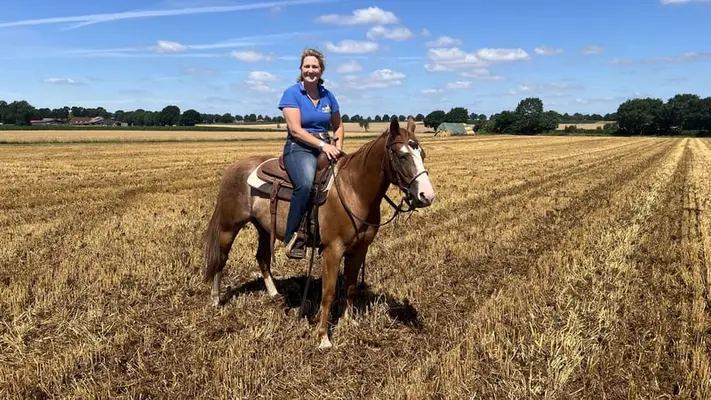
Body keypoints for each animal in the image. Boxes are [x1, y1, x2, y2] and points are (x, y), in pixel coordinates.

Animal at [202, 118, 435, 349]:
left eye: (422, 154)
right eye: (403, 156)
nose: (427, 196)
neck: (353, 190)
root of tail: (234, 167)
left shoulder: (359, 250)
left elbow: (350, 287)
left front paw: (349, 322)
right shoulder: (333, 250)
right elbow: (328, 293)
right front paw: (323, 337)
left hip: (263, 227)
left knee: (262, 257)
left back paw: (274, 293)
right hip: (229, 227)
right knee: (221, 259)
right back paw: (215, 300)